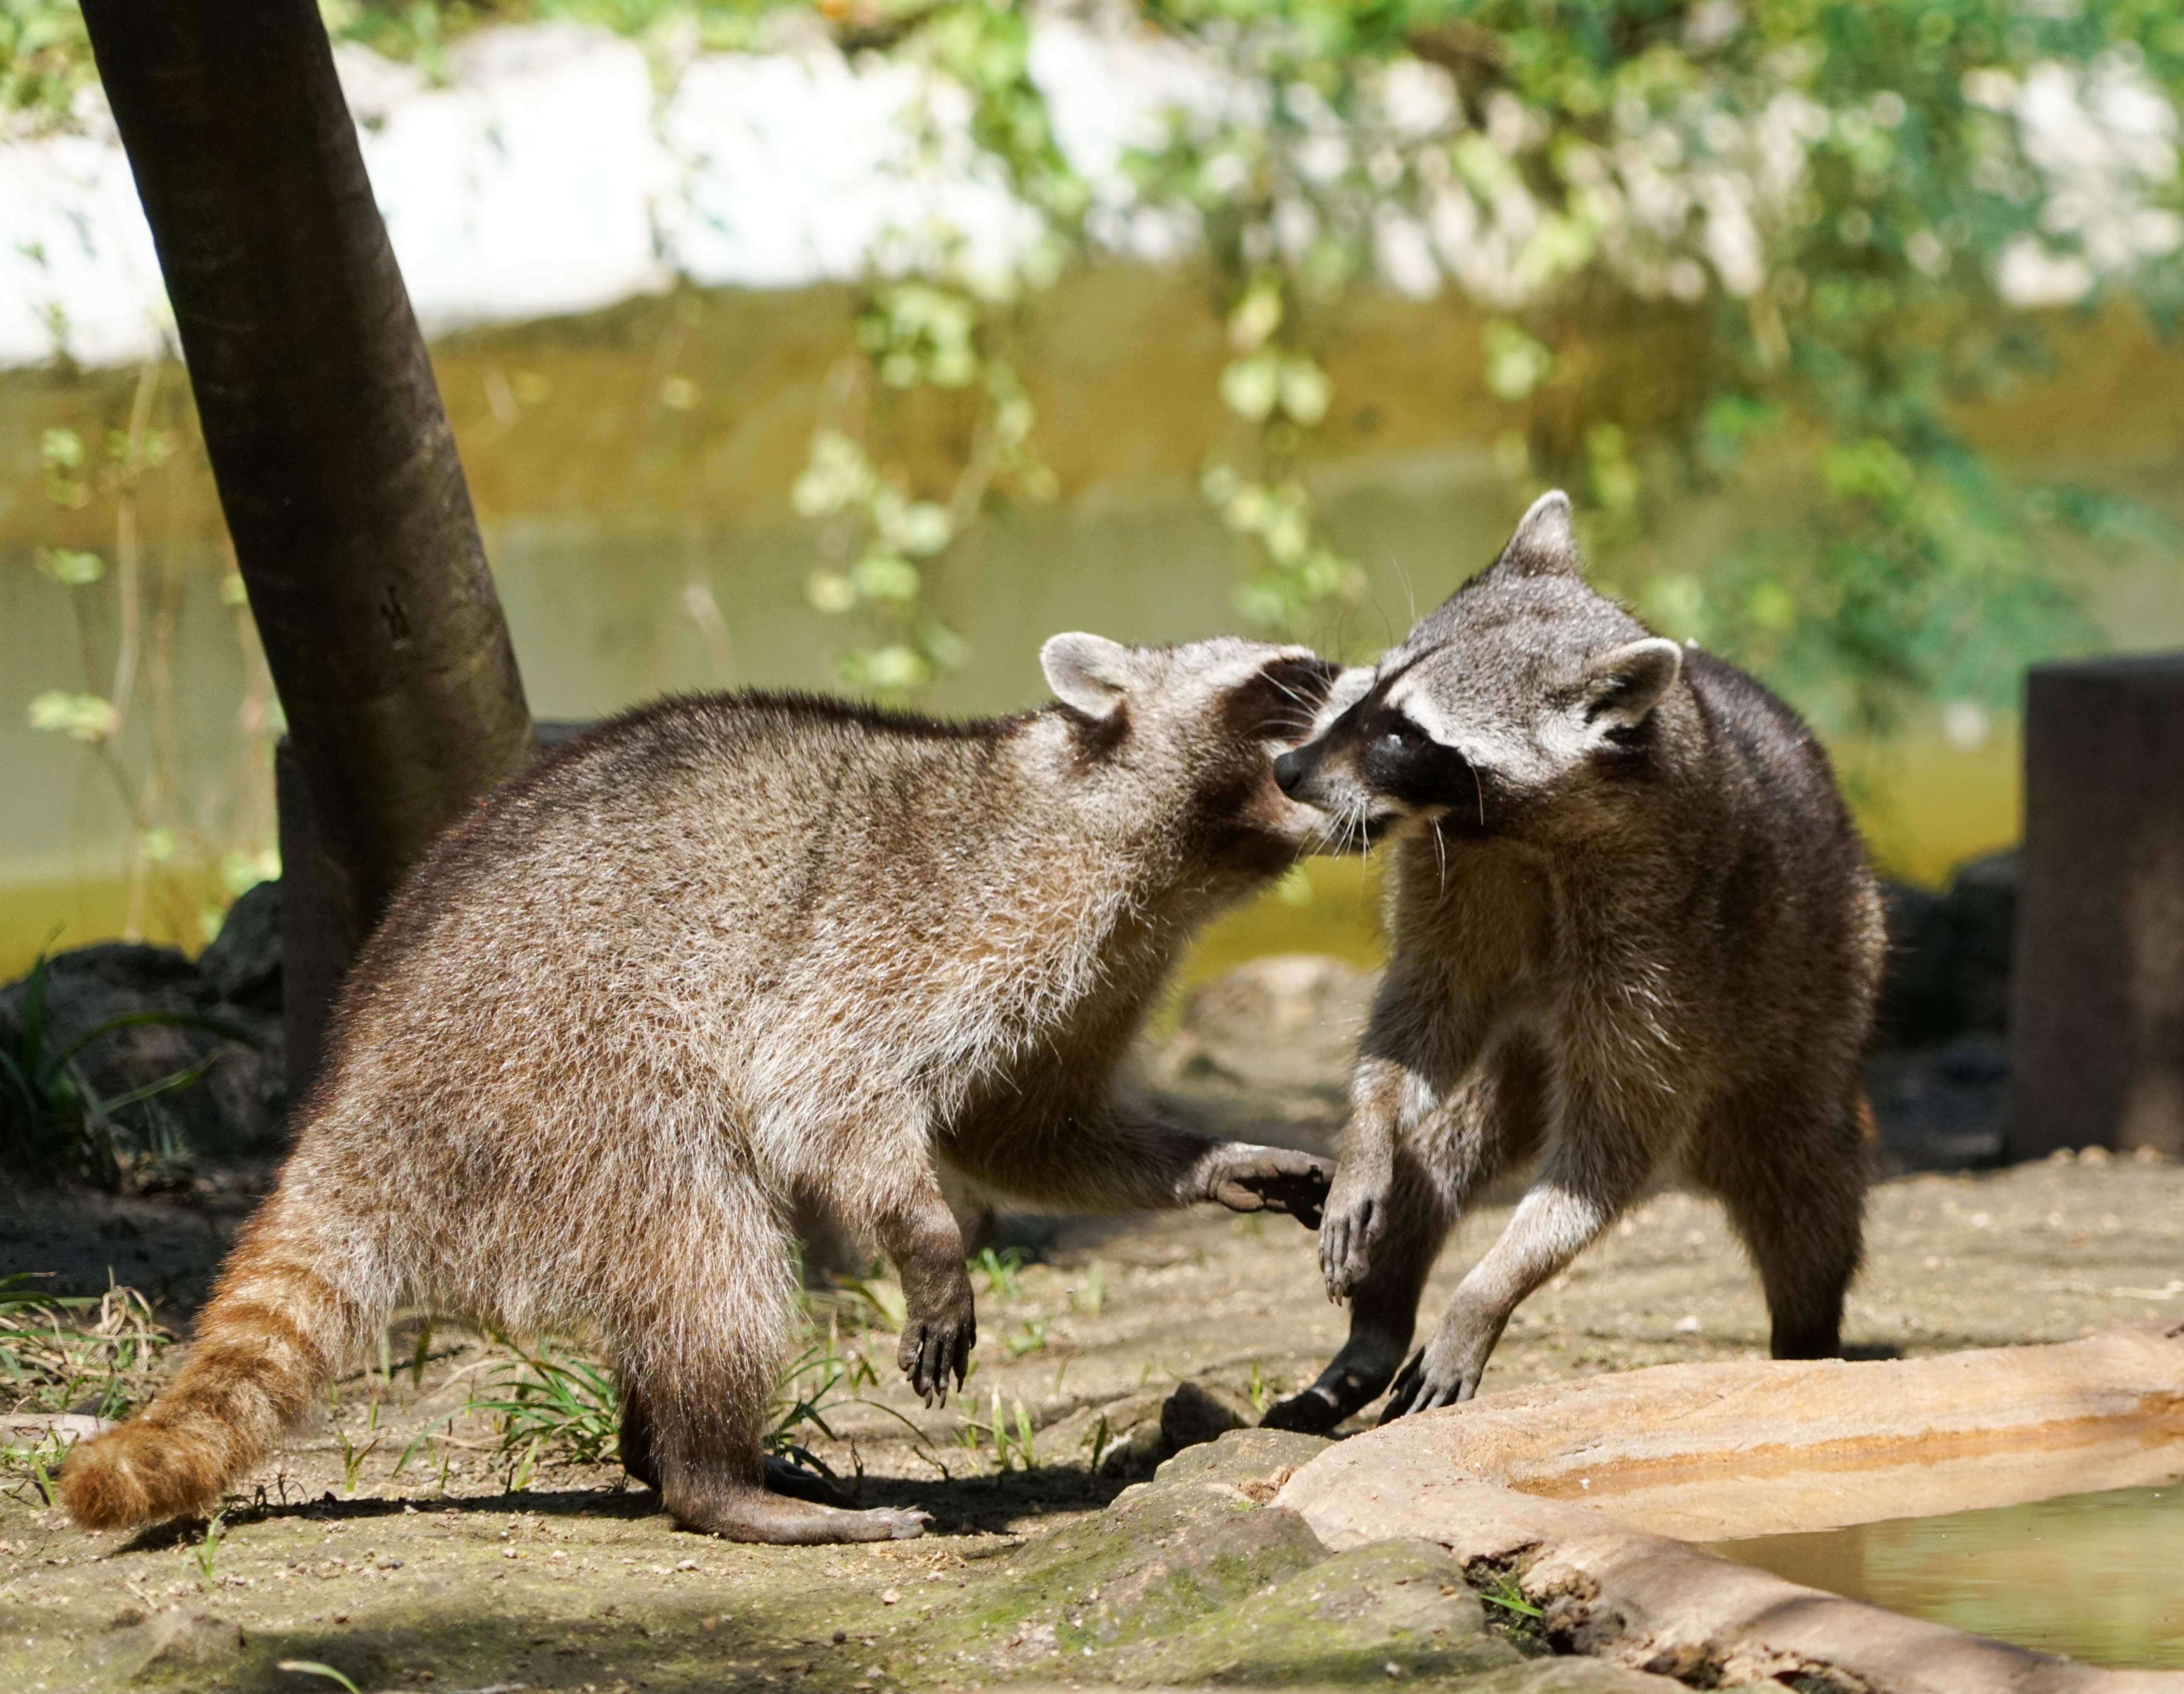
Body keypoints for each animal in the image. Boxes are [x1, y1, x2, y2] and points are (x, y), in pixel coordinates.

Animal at [64, 633, 1328, 1537]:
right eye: (1295, 672)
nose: (1363, 678)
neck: (1160, 843)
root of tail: (349, 1107)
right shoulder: (943, 917)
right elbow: (823, 1086)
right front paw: (926, 1236)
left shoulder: (1103, 971)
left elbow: (1023, 1130)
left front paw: (1208, 1162)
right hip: (560, 1085)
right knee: (711, 1244)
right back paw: (712, 1478)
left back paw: (669, 1449)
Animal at [1258, 496, 1887, 1432]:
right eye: (1369, 687)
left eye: (1405, 735)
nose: (1287, 767)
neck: (1513, 831)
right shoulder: (1455, 881)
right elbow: (1420, 1020)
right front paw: (1365, 1129)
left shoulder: (1663, 953)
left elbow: (1608, 1152)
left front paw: (1485, 1291)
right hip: (1519, 1059)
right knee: (1439, 1147)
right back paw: (1375, 1325)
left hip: (1814, 995)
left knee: (1808, 1191)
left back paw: (1807, 1337)